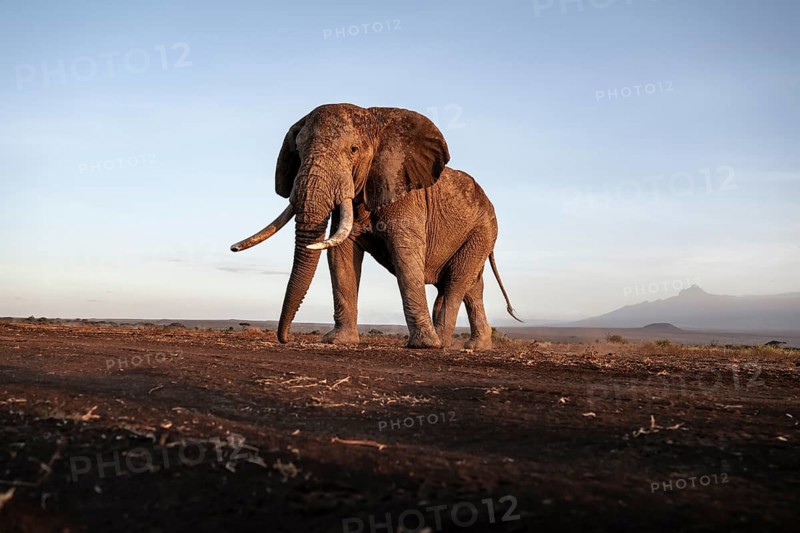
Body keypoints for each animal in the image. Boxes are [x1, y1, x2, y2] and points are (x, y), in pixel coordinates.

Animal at [230, 103, 521, 349]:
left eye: (353, 150)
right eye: (298, 152)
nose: (285, 338)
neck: (375, 120)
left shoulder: (406, 196)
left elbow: (406, 258)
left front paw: (424, 345)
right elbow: (341, 256)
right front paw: (339, 341)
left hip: (483, 232)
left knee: (456, 283)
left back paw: (442, 343)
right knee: (472, 288)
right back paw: (475, 346)